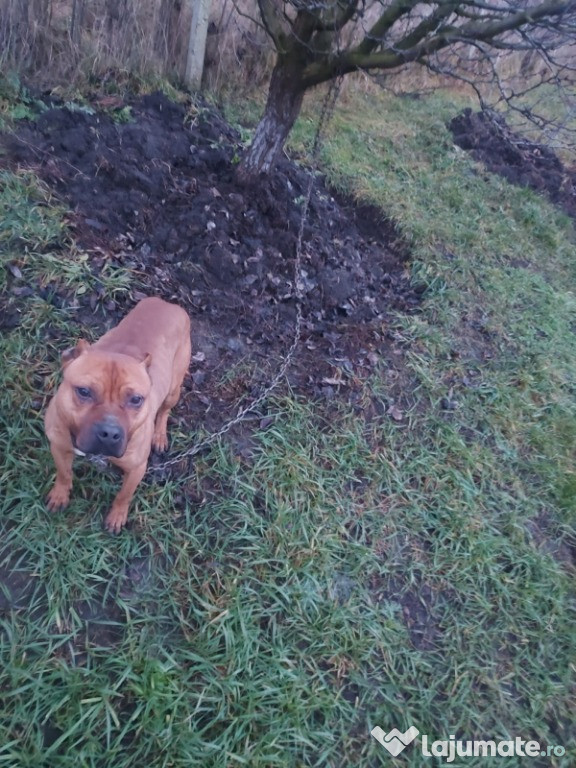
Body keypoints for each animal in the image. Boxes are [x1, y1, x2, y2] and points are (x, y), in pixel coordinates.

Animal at [44, 296, 191, 532]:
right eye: (84, 391)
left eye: (136, 399)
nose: (109, 433)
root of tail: (168, 303)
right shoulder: (59, 446)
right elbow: (64, 474)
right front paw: (60, 495)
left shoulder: (137, 469)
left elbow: (124, 495)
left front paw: (117, 516)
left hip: (173, 389)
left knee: (165, 411)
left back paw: (159, 436)